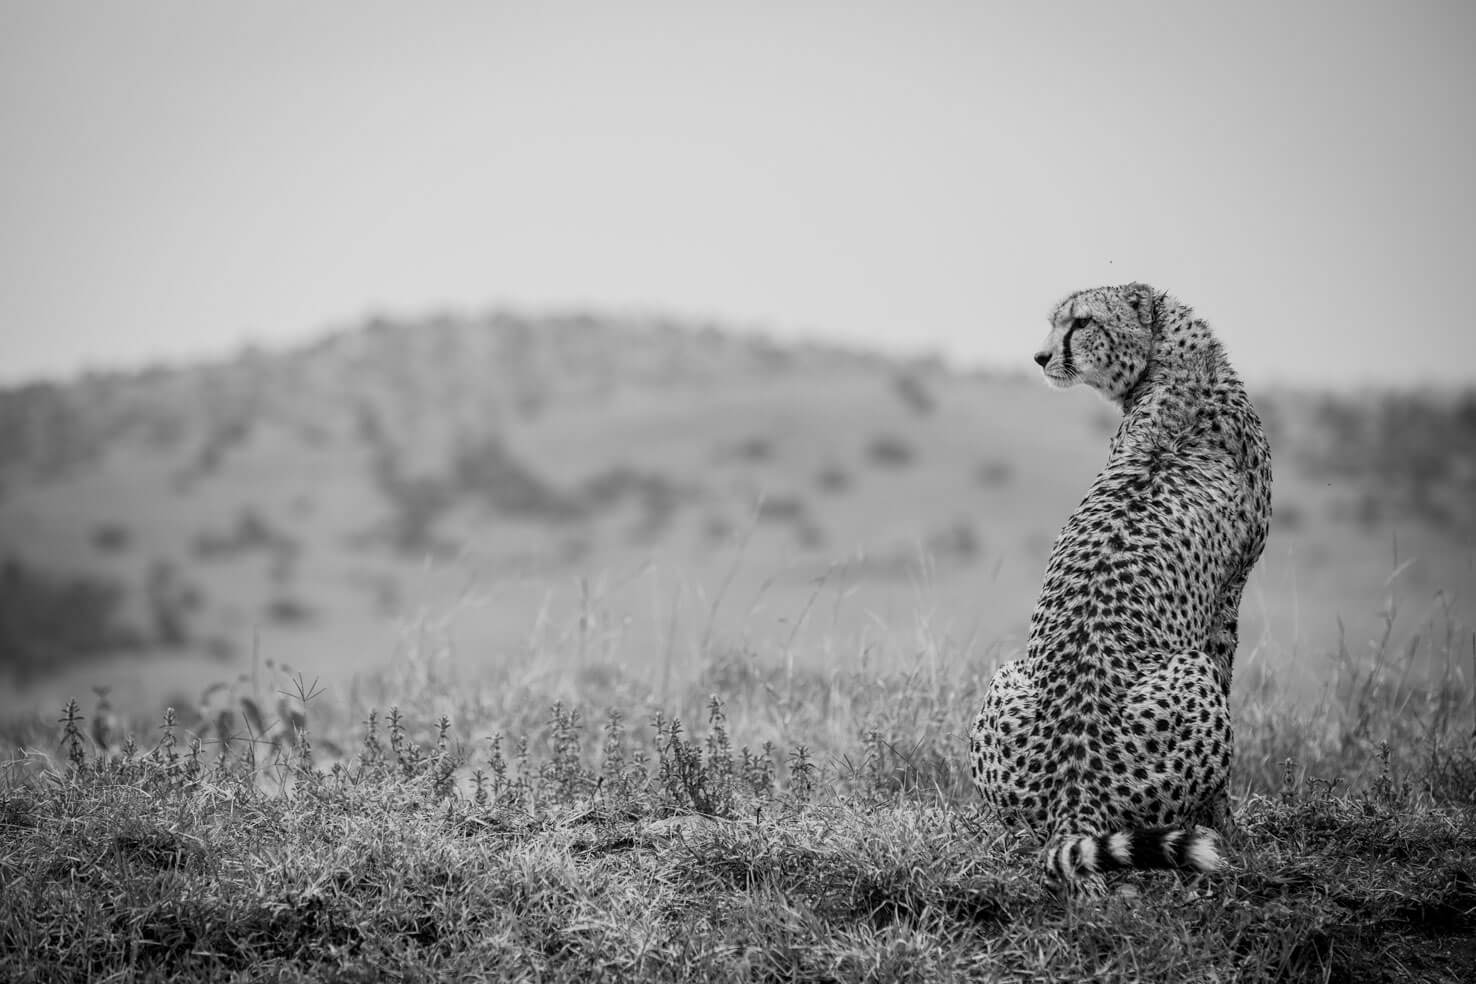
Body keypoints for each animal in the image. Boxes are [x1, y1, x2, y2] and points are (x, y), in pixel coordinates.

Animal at [969, 282, 1272, 890]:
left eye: (1082, 322)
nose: (1040, 356)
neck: (1179, 367)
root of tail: (1075, 785)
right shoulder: (1230, 595)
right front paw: (1230, 827)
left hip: (1007, 677)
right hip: (1191, 672)